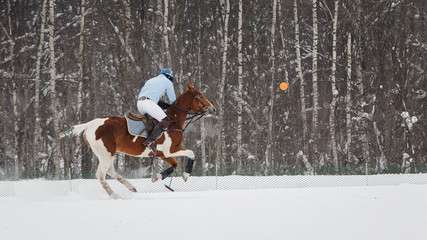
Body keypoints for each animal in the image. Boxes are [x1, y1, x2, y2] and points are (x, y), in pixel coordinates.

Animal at [68, 82, 216, 199]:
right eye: (201, 96)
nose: (213, 109)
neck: (174, 121)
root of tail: (89, 125)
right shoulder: (170, 150)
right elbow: (191, 153)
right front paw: (186, 174)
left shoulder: (163, 154)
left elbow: (174, 165)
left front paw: (157, 177)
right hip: (105, 153)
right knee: (101, 175)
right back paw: (115, 195)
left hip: (107, 154)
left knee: (110, 171)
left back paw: (131, 187)